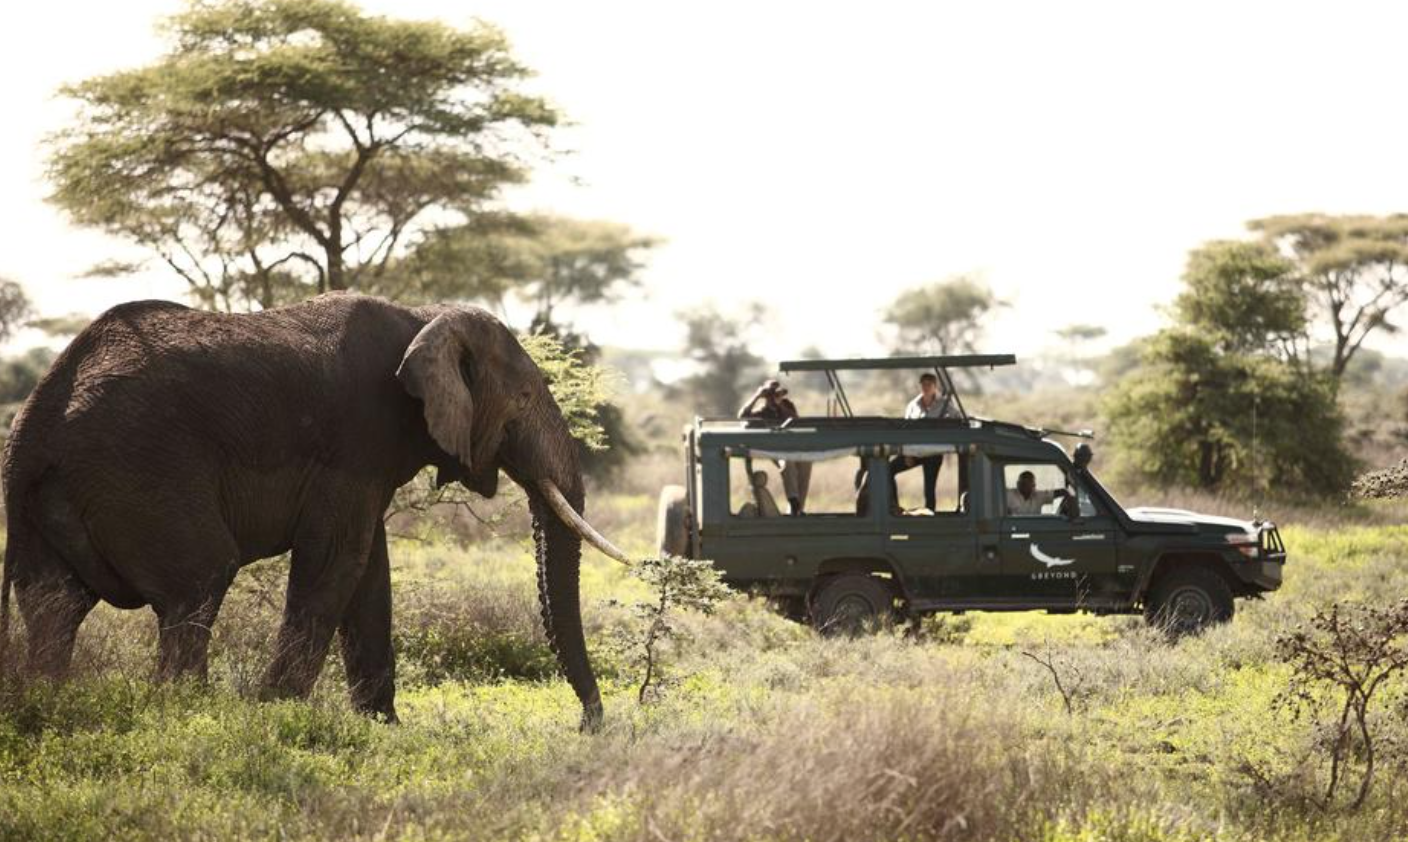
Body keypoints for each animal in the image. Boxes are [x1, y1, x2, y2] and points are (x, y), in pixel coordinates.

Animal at [0, 294, 627, 726]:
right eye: (523, 398)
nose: (589, 726)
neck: (422, 317)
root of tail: (33, 423)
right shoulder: (355, 438)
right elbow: (337, 562)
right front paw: (271, 715)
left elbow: (371, 573)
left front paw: (382, 728)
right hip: (140, 469)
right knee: (198, 579)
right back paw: (188, 716)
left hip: (56, 502)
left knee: (54, 604)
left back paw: (49, 708)